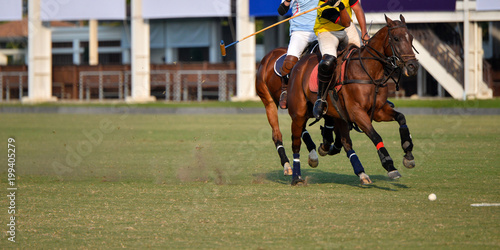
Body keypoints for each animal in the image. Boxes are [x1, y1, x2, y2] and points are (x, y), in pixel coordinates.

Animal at [288, 14, 420, 186]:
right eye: (396, 38)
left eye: (411, 38)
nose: (413, 66)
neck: (370, 72)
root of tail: (299, 63)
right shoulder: (357, 112)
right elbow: (376, 136)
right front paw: (390, 165)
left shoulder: (378, 110)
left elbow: (401, 118)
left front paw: (408, 154)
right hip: (298, 113)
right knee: (296, 143)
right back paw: (296, 176)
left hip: (338, 114)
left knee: (345, 141)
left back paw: (360, 172)